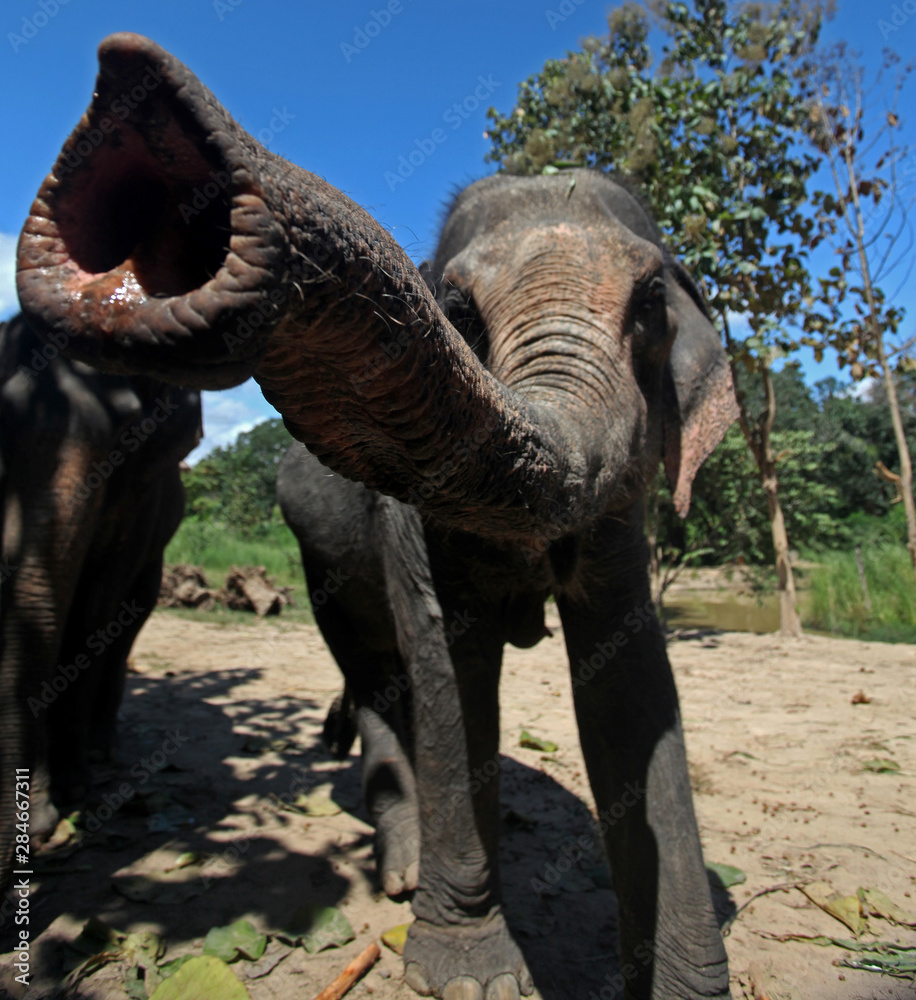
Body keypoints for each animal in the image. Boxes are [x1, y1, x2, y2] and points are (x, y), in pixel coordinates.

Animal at [0, 312, 201, 870]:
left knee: (131, 615)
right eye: (1, 421)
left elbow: (96, 611)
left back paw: (99, 750)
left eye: (127, 431)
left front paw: (69, 792)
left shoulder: (141, 497)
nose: (36, 831)